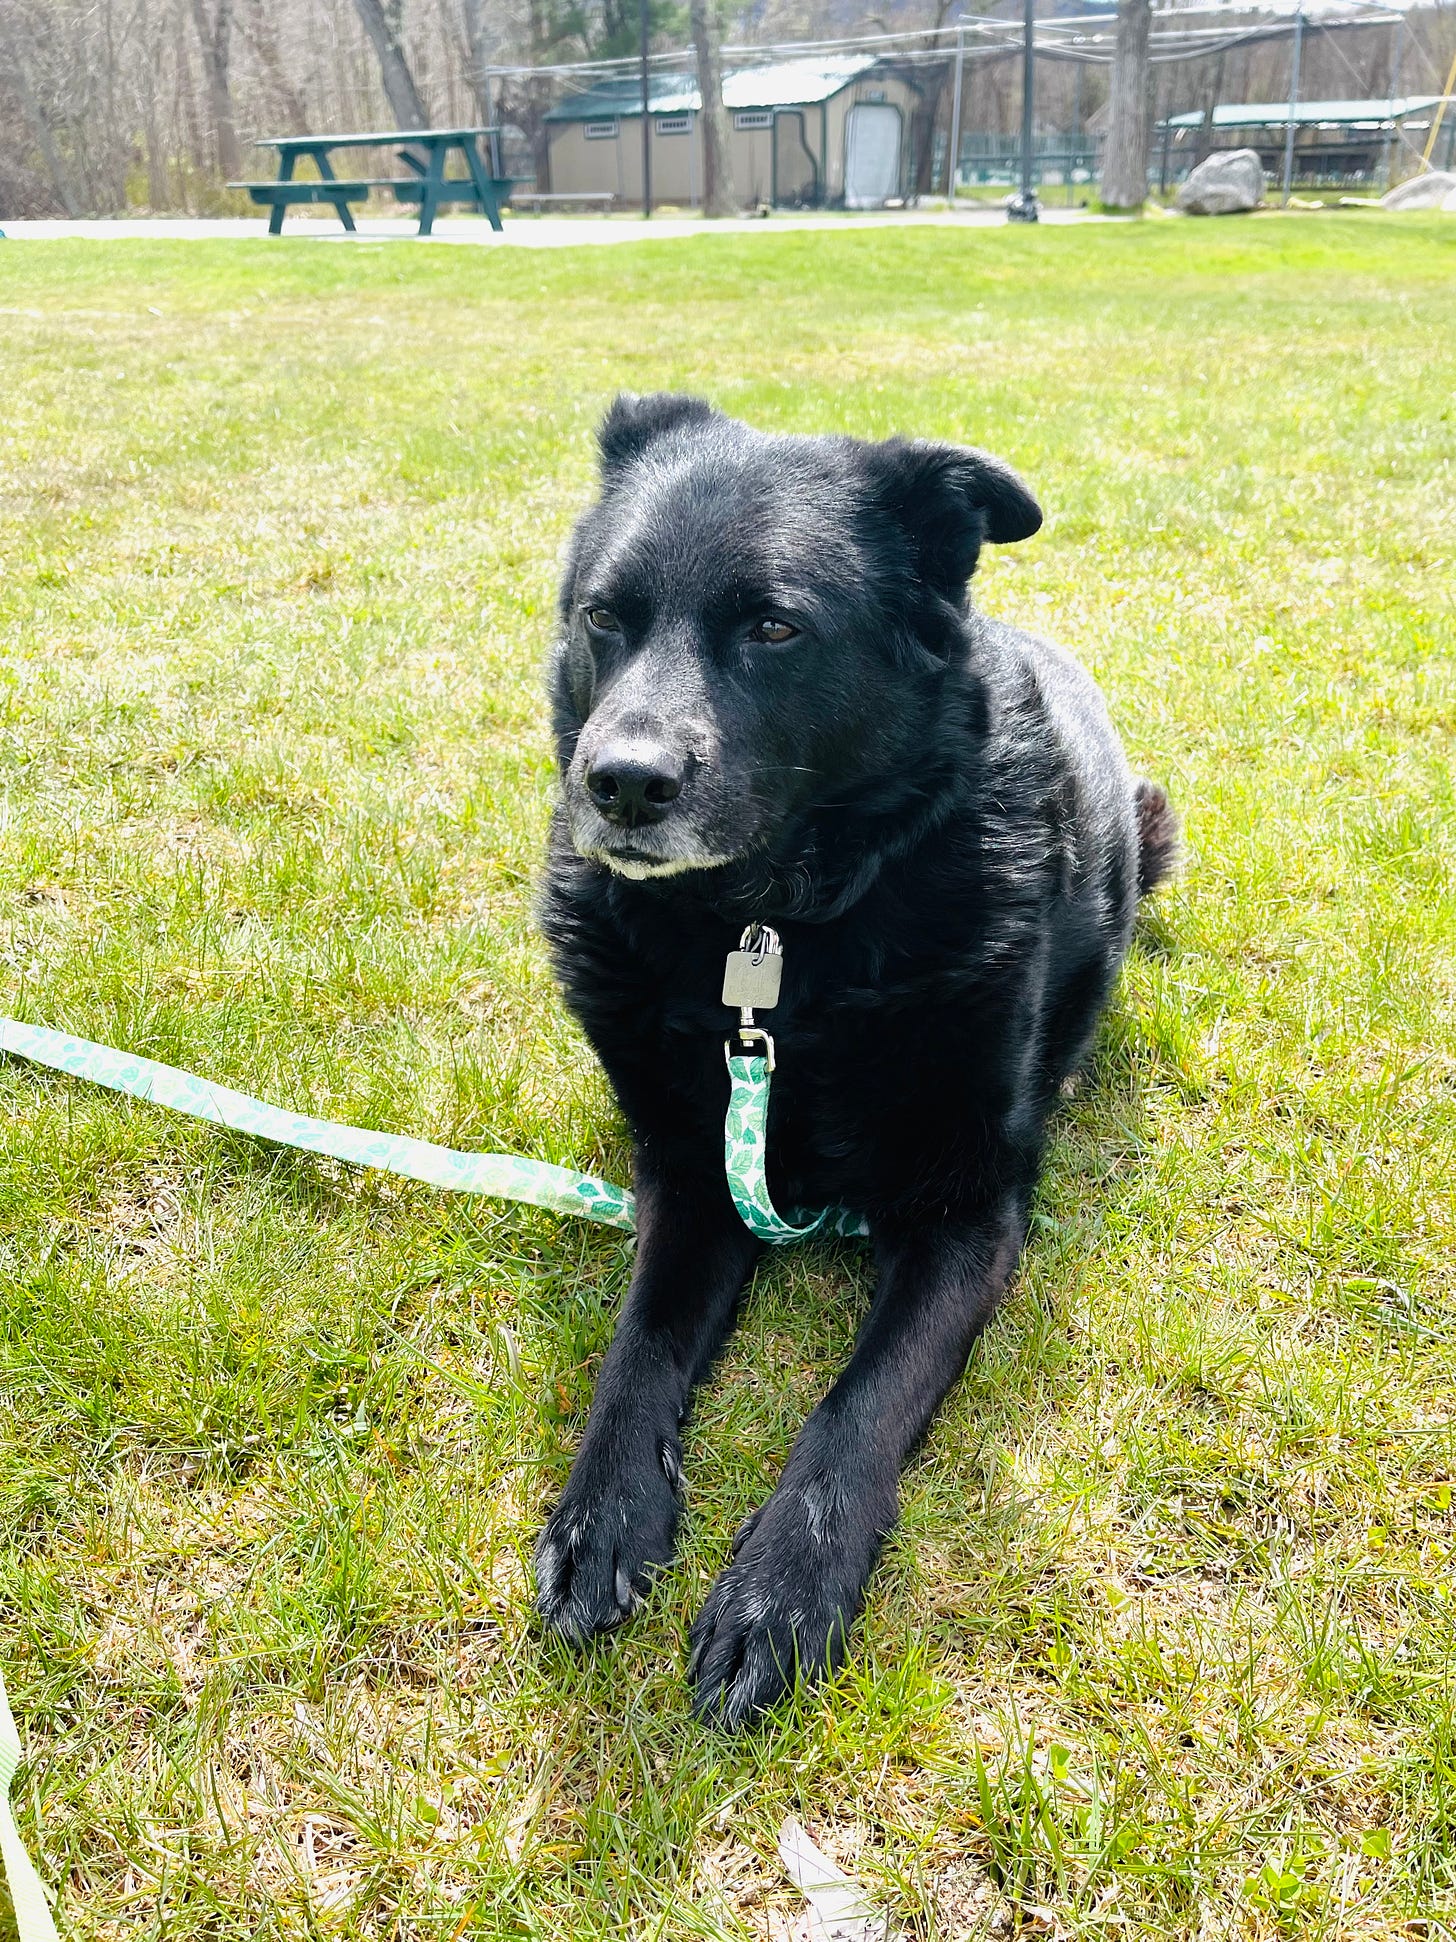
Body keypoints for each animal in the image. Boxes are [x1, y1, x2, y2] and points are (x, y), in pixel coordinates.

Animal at [531, 394, 1180, 1732]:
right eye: (604, 617)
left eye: (775, 627)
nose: (616, 784)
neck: (768, 935)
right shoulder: (692, 1173)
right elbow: (639, 1344)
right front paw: (604, 1511)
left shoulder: (966, 1215)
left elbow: (859, 1400)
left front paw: (782, 1585)